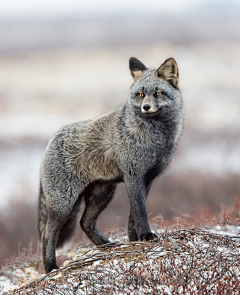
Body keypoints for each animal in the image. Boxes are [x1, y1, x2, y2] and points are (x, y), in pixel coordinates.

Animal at [38, 56, 184, 274]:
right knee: (47, 235)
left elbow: (133, 216)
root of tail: (50, 142)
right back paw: (50, 267)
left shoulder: (147, 179)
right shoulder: (133, 176)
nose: (146, 108)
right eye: (140, 94)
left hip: (103, 194)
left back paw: (106, 245)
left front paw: (135, 240)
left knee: (85, 223)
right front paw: (146, 236)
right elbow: (140, 211)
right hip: (64, 204)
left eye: (158, 93)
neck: (156, 139)